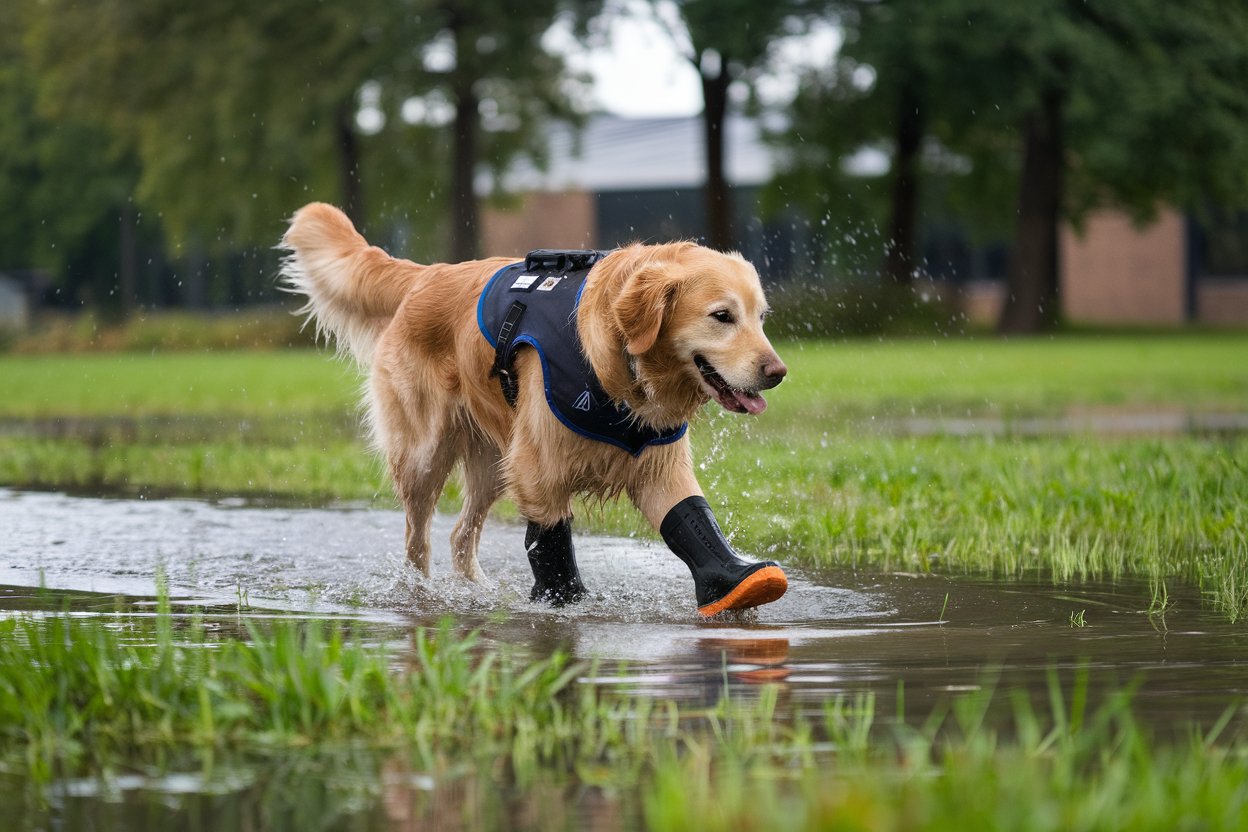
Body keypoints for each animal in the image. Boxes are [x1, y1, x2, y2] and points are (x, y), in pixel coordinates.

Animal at [283, 204, 788, 616]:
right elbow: (550, 543)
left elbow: (691, 518)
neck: (620, 366)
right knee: (417, 541)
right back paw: (420, 596)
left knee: (460, 535)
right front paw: (566, 602)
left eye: (761, 317)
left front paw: (734, 582)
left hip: (494, 461)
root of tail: (426, 275)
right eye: (722, 316)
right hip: (426, 455)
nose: (778, 372)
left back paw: (476, 593)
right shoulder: (539, 467)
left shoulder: (657, 464)